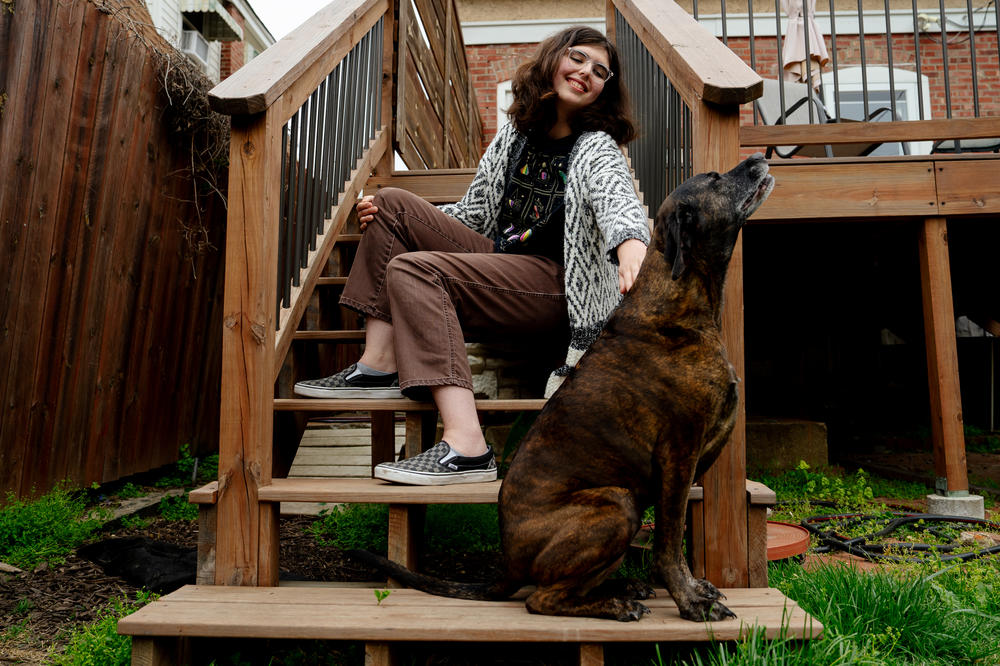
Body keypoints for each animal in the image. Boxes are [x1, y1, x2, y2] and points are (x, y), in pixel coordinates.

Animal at [348, 153, 776, 620]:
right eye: (715, 178)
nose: (758, 158)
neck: (683, 300)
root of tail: (510, 563)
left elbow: (674, 540)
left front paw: (696, 588)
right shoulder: (677, 457)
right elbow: (669, 545)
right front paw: (690, 600)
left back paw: (622, 587)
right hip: (616, 503)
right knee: (541, 598)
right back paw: (615, 604)